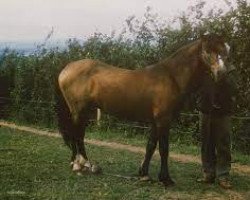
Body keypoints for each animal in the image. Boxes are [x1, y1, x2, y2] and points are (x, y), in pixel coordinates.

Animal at [56, 34, 230, 186]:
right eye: (207, 50)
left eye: (226, 49)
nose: (222, 73)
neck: (172, 77)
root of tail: (67, 68)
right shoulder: (163, 121)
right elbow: (163, 149)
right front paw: (166, 179)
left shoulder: (155, 121)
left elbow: (150, 146)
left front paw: (144, 174)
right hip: (79, 111)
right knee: (77, 135)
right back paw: (81, 164)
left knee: (77, 135)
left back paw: (79, 163)